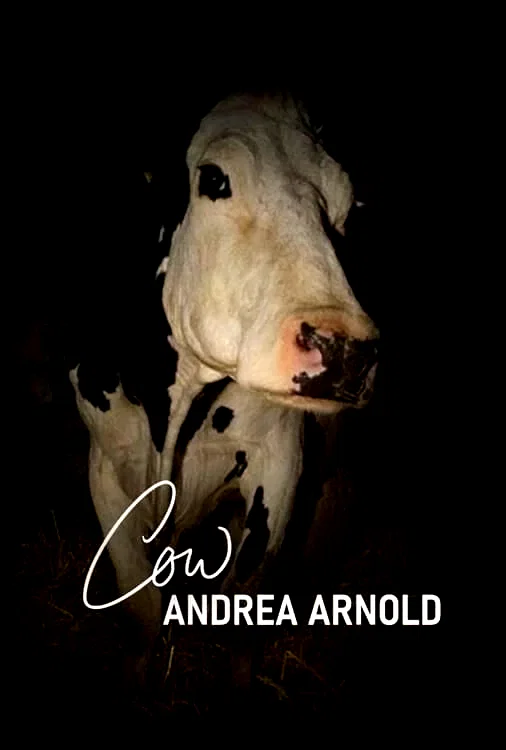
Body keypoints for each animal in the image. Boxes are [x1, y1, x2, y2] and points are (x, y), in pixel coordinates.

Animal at [69, 91, 379, 691]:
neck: (173, 410)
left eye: (348, 204)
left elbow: (247, 603)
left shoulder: (280, 462)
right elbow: (139, 603)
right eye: (214, 178)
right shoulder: (103, 460)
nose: (345, 350)